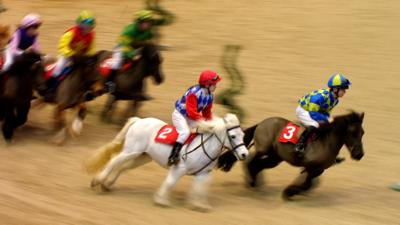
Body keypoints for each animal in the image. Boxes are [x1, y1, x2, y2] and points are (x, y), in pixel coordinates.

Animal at [86, 114, 248, 211]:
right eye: (233, 136)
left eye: (243, 134)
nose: (244, 154)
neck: (204, 146)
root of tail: (139, 120)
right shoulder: (179, 168)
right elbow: (170, 183)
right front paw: (161, 201)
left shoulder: (203, 173)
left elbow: (200, 188)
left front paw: (199, 205)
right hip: (131, 150)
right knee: (115, 161)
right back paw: (98, 180)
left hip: (142, 156)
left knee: (123, 166)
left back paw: (106, 184)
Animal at [219, 111, 366, 200]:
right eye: (352, 132)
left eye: (362, 132)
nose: (359, 154)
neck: (326, 142)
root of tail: (261, 123)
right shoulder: (310, 166)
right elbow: (307, 183)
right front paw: (289, 192)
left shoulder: (318, 169)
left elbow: (309, 184)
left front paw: (292, 191)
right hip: (264, 149)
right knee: (252, 161)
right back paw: (251, 180)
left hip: (275, 157)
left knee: (259, 164)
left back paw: (253, 181)